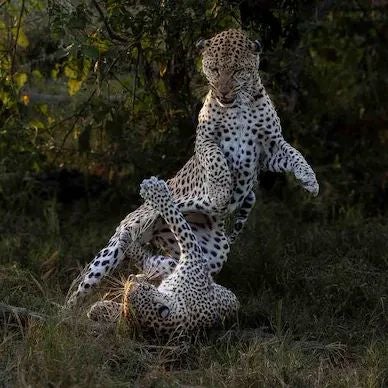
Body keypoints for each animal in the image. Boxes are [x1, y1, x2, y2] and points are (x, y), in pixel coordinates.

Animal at [66, 28, 318, 306]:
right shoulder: (205, 140)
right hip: (122, 238)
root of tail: (153, 235)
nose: (223, 94)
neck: (239, 105)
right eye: (215, 69)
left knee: (160, 263)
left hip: (211, 251)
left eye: (237, 70)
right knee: (83, 284)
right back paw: (67, 311)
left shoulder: (269, 148)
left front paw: (309, 179)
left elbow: (294, 153)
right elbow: (216, 162)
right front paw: (219, 193)